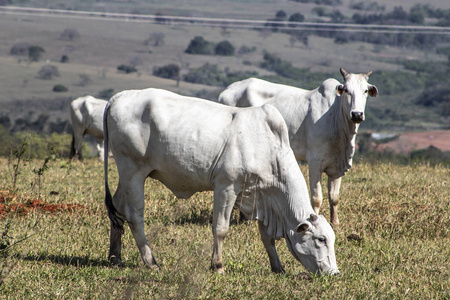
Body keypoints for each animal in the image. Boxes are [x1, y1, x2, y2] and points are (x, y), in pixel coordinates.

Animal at [103, 88, 340, 276]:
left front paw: (278, 267)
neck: (267, 146)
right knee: (135, 216)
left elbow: (267, 237)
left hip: (126, 176)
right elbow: (220, 228)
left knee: (117, 210)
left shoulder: (261, 195)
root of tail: (119, 97)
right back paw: (150, 261)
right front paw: (217, 265)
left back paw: (115, 257)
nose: (334, 273)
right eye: (321, 239)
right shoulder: (227, 187)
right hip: (133, 170)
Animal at [216, 68, 378, 227]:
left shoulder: (336, 167)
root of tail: (227, 90)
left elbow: (334, 197)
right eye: (346, 90)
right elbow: (316, 198)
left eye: (365, 91)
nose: (357, 114)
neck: (336, 117)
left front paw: (335, 223)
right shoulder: (314, 162)